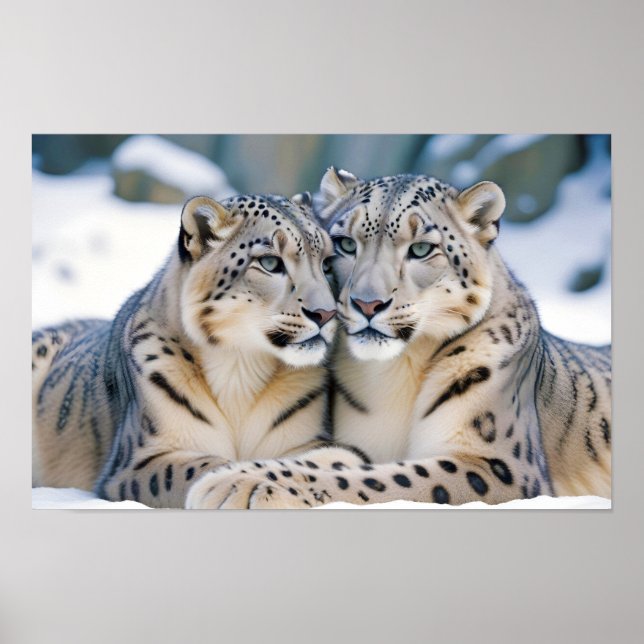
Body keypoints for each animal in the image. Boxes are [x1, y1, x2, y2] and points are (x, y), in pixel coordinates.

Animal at [32, 192, 368, 508]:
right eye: (271, 263)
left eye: (326, 263)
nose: (325, 314)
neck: (239, 369)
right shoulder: (140, 458)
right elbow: (195, 467)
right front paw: (230, 486)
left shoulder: (306, 438)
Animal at [191, 169, 611, 508]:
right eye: (345, 244)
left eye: (422, 248)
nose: (368, 303)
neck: (394, 377)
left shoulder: (496, 463)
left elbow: (386, 479)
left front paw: (235, 484)